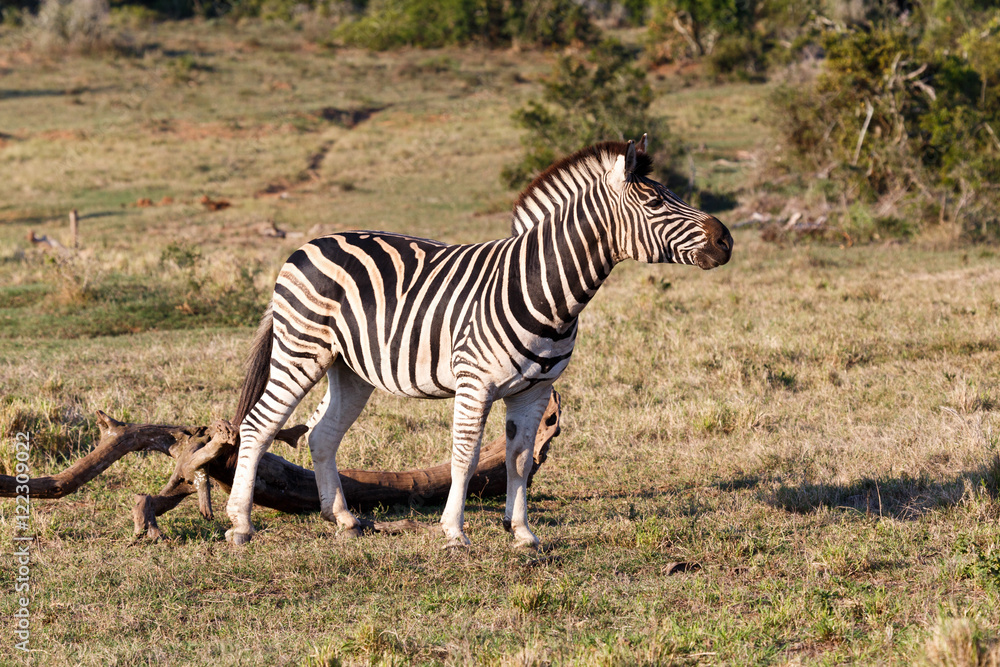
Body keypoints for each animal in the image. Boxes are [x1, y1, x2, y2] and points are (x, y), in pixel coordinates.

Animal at [227, 136, 732, 548]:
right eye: (656, 202)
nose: (726, 240)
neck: (543, 286)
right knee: (259, 425)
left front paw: (522, 531)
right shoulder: (475, 383)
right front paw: (454, 532)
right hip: (300, 348)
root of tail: (307, 245)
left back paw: (345, 520)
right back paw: (241, 525)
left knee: (321, 434)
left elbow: (520, 459)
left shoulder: (535, 390)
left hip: (348, 367)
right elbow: (466, 457)